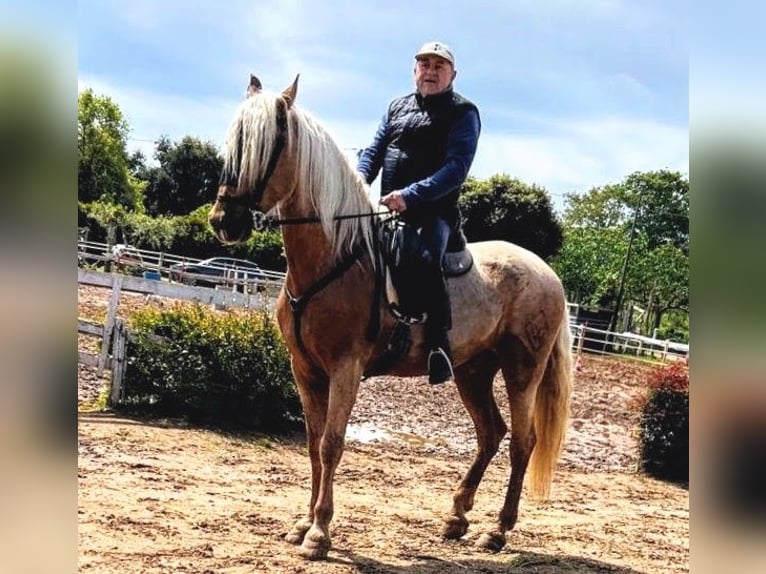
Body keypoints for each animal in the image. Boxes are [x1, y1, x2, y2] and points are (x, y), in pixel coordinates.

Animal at [208, 74, 573, 560]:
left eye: (267, 144)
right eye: (234, 140)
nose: (223, 220)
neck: (335, 257)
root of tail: (547, 273)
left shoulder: (345, 369)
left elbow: (331, 444)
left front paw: (319, 533)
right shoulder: (304, 370)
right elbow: (312, 445)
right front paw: (303, 524)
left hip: (522, 371)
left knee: (521, 442)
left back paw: (497, 531)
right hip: (473, 371)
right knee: (490, 434)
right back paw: (456, 517)